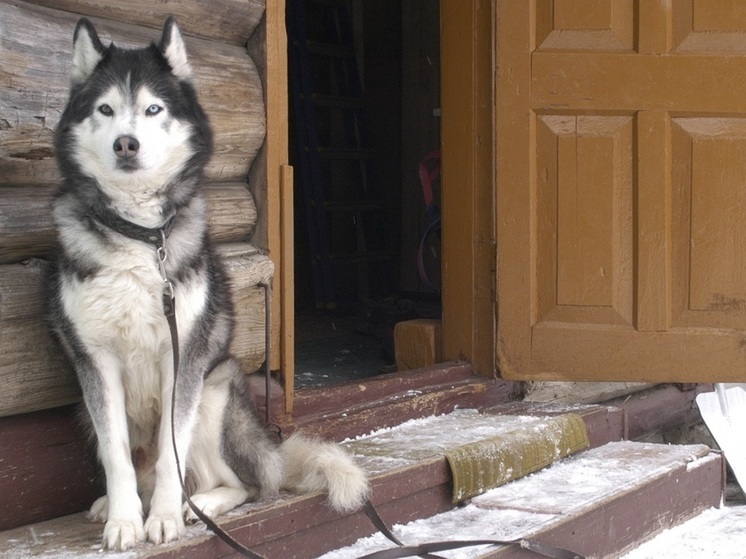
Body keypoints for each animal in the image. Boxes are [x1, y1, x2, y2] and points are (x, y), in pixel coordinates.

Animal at [48, 16, 368, 552]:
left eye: (153, 109)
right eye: (105, 109)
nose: (126, 143)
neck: (140, 235)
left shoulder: (185, 359)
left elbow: (170, 449)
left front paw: (162, 519)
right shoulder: (95, 361)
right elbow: (116, 455)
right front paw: (124, 520)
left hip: (216, 392)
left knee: (247, 484)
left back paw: (197, 506)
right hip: (88, 410)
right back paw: (118, 504)